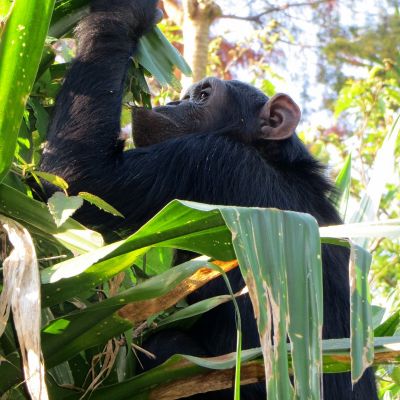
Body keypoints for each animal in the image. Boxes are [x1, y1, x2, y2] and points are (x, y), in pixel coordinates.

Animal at [39, 0, 378, 400]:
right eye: (186, 96)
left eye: (201, 97)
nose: (173, 101)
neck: (268, 155)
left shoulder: (210, 161)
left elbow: (81, 178)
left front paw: (123, 12)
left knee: (167, 347)